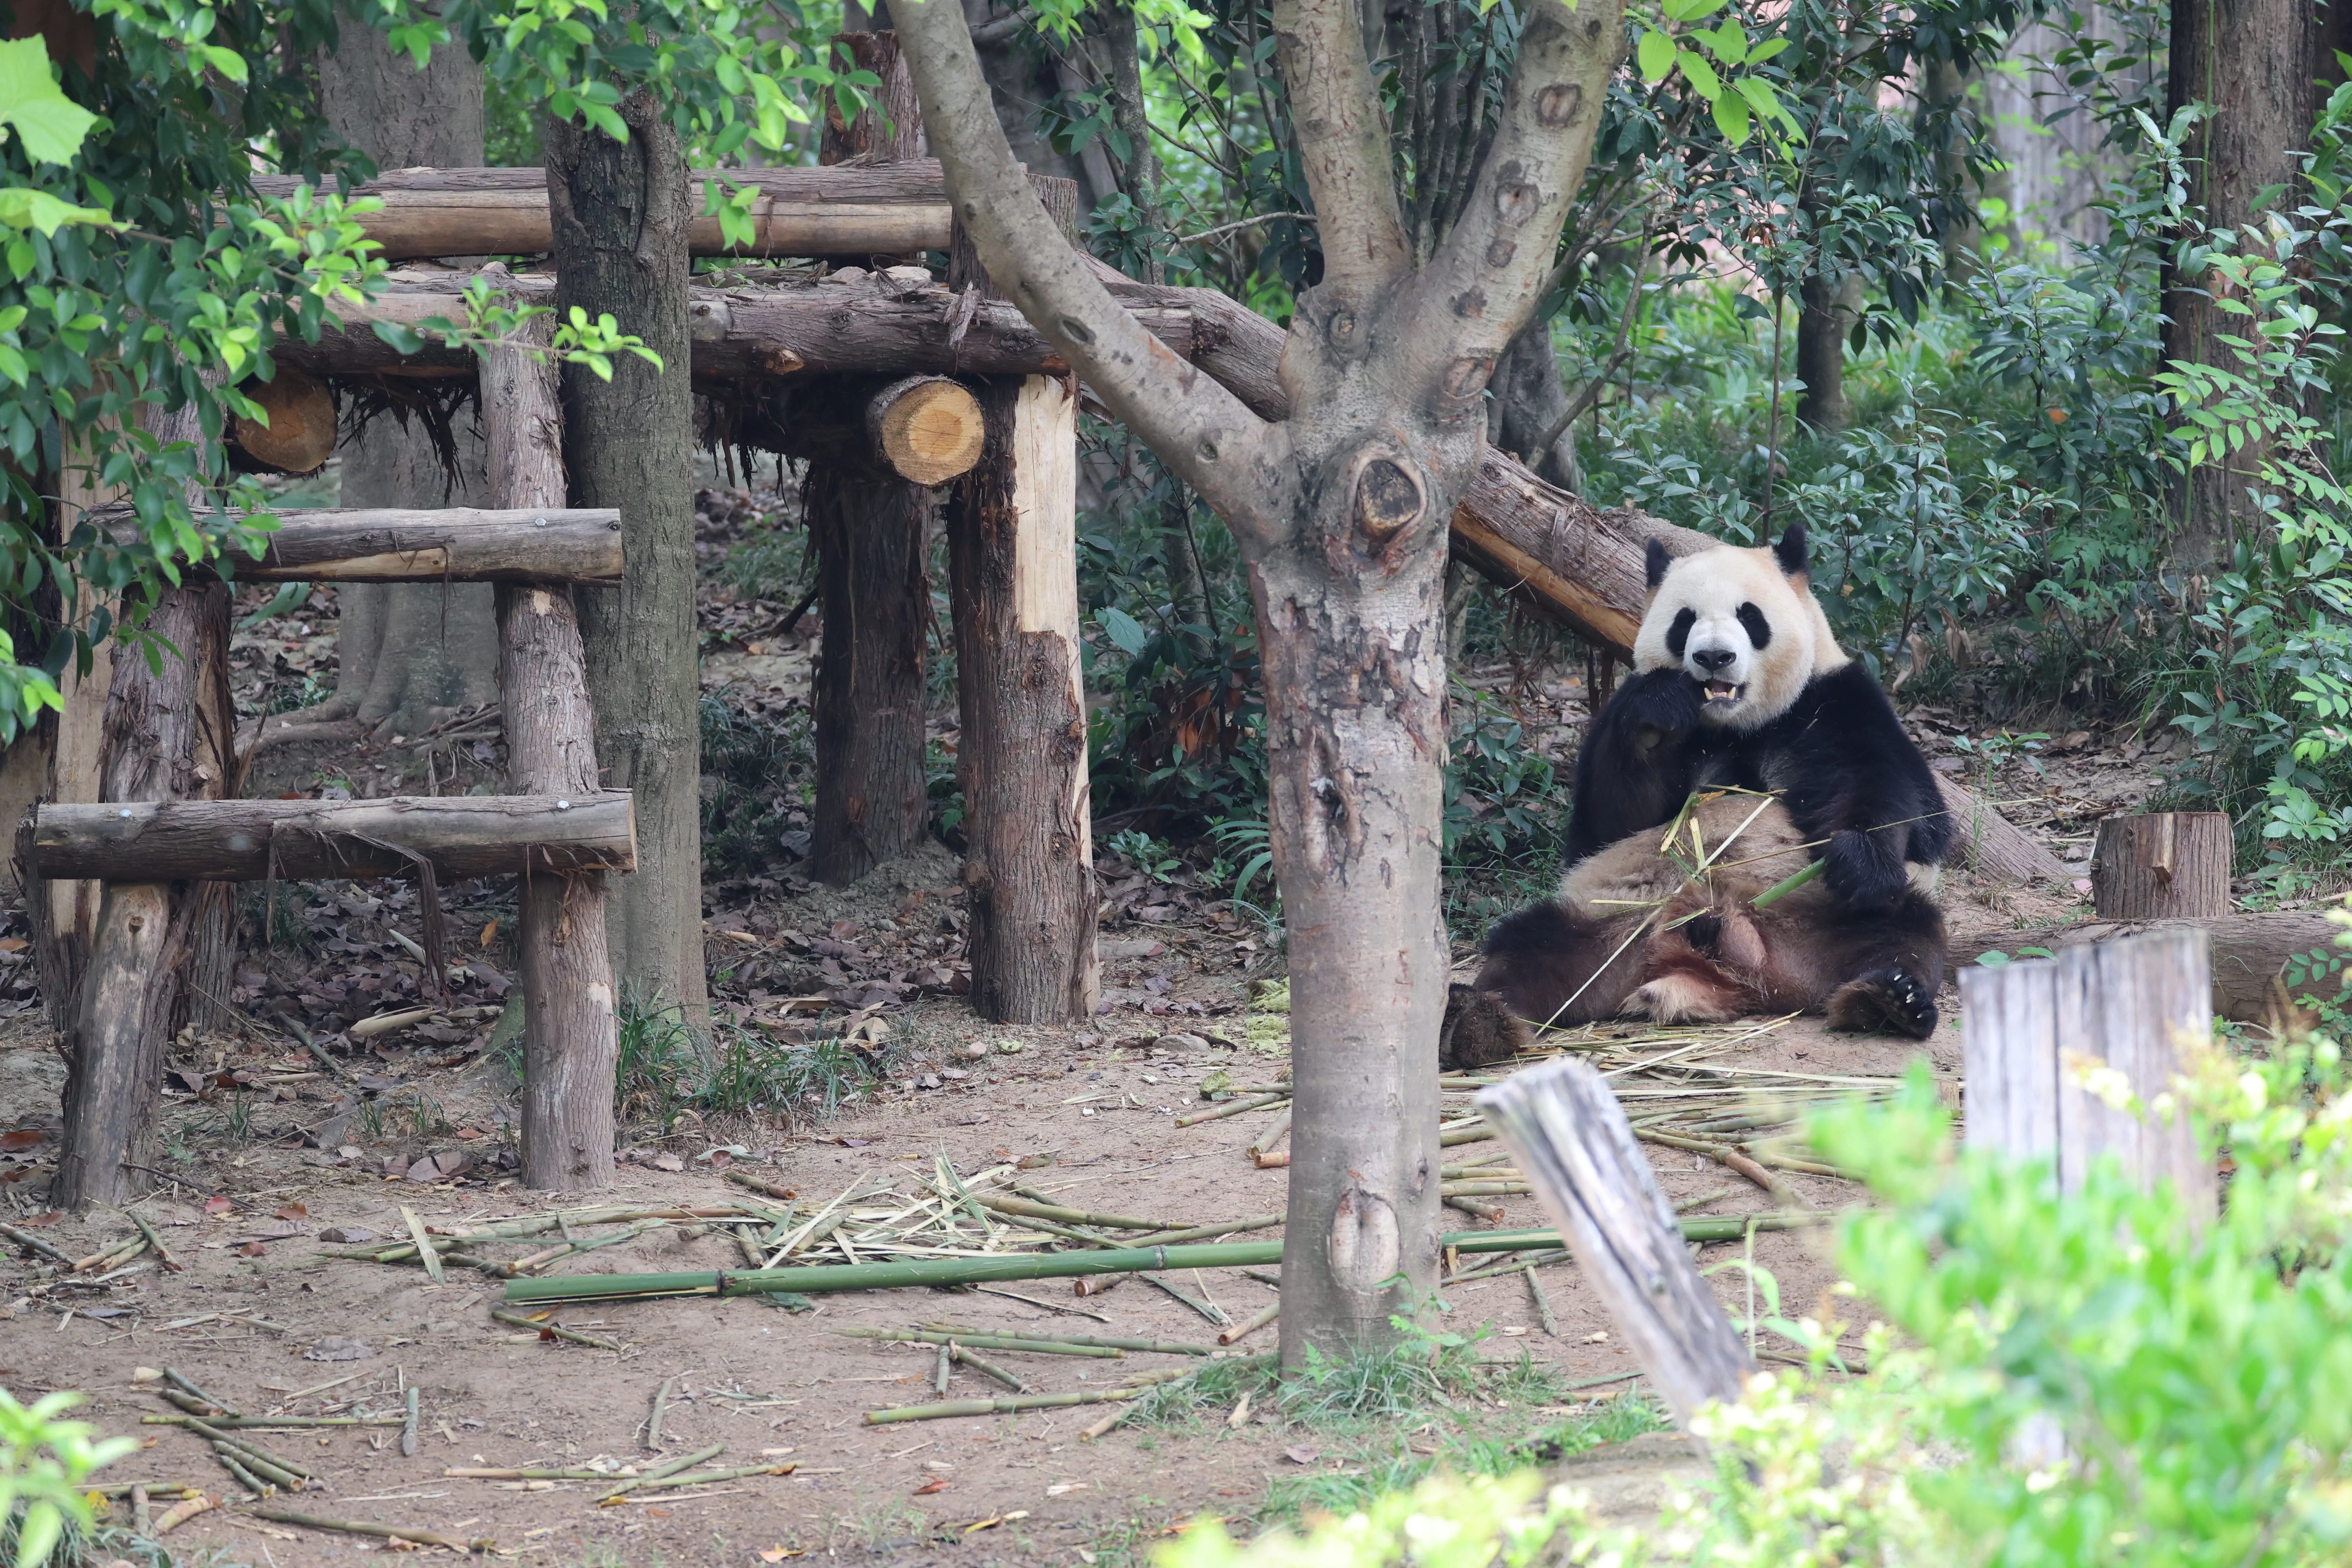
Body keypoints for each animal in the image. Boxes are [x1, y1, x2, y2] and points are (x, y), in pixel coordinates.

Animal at [1437, 523, 1951, 1068]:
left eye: (1750, 615)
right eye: (1685, 621)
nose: (1713, 657)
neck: (1734, 723)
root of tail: (1747, 974)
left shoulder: (1833, 701)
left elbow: (1894, 796)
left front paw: (1861, 861)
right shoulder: (1623, 716)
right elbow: (1606, 824)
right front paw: (1657, 719)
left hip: (1817, 917)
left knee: (1905, 933)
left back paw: (1890, 1001)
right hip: (1614, 921)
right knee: (1530, 946)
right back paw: (1478, 1020)